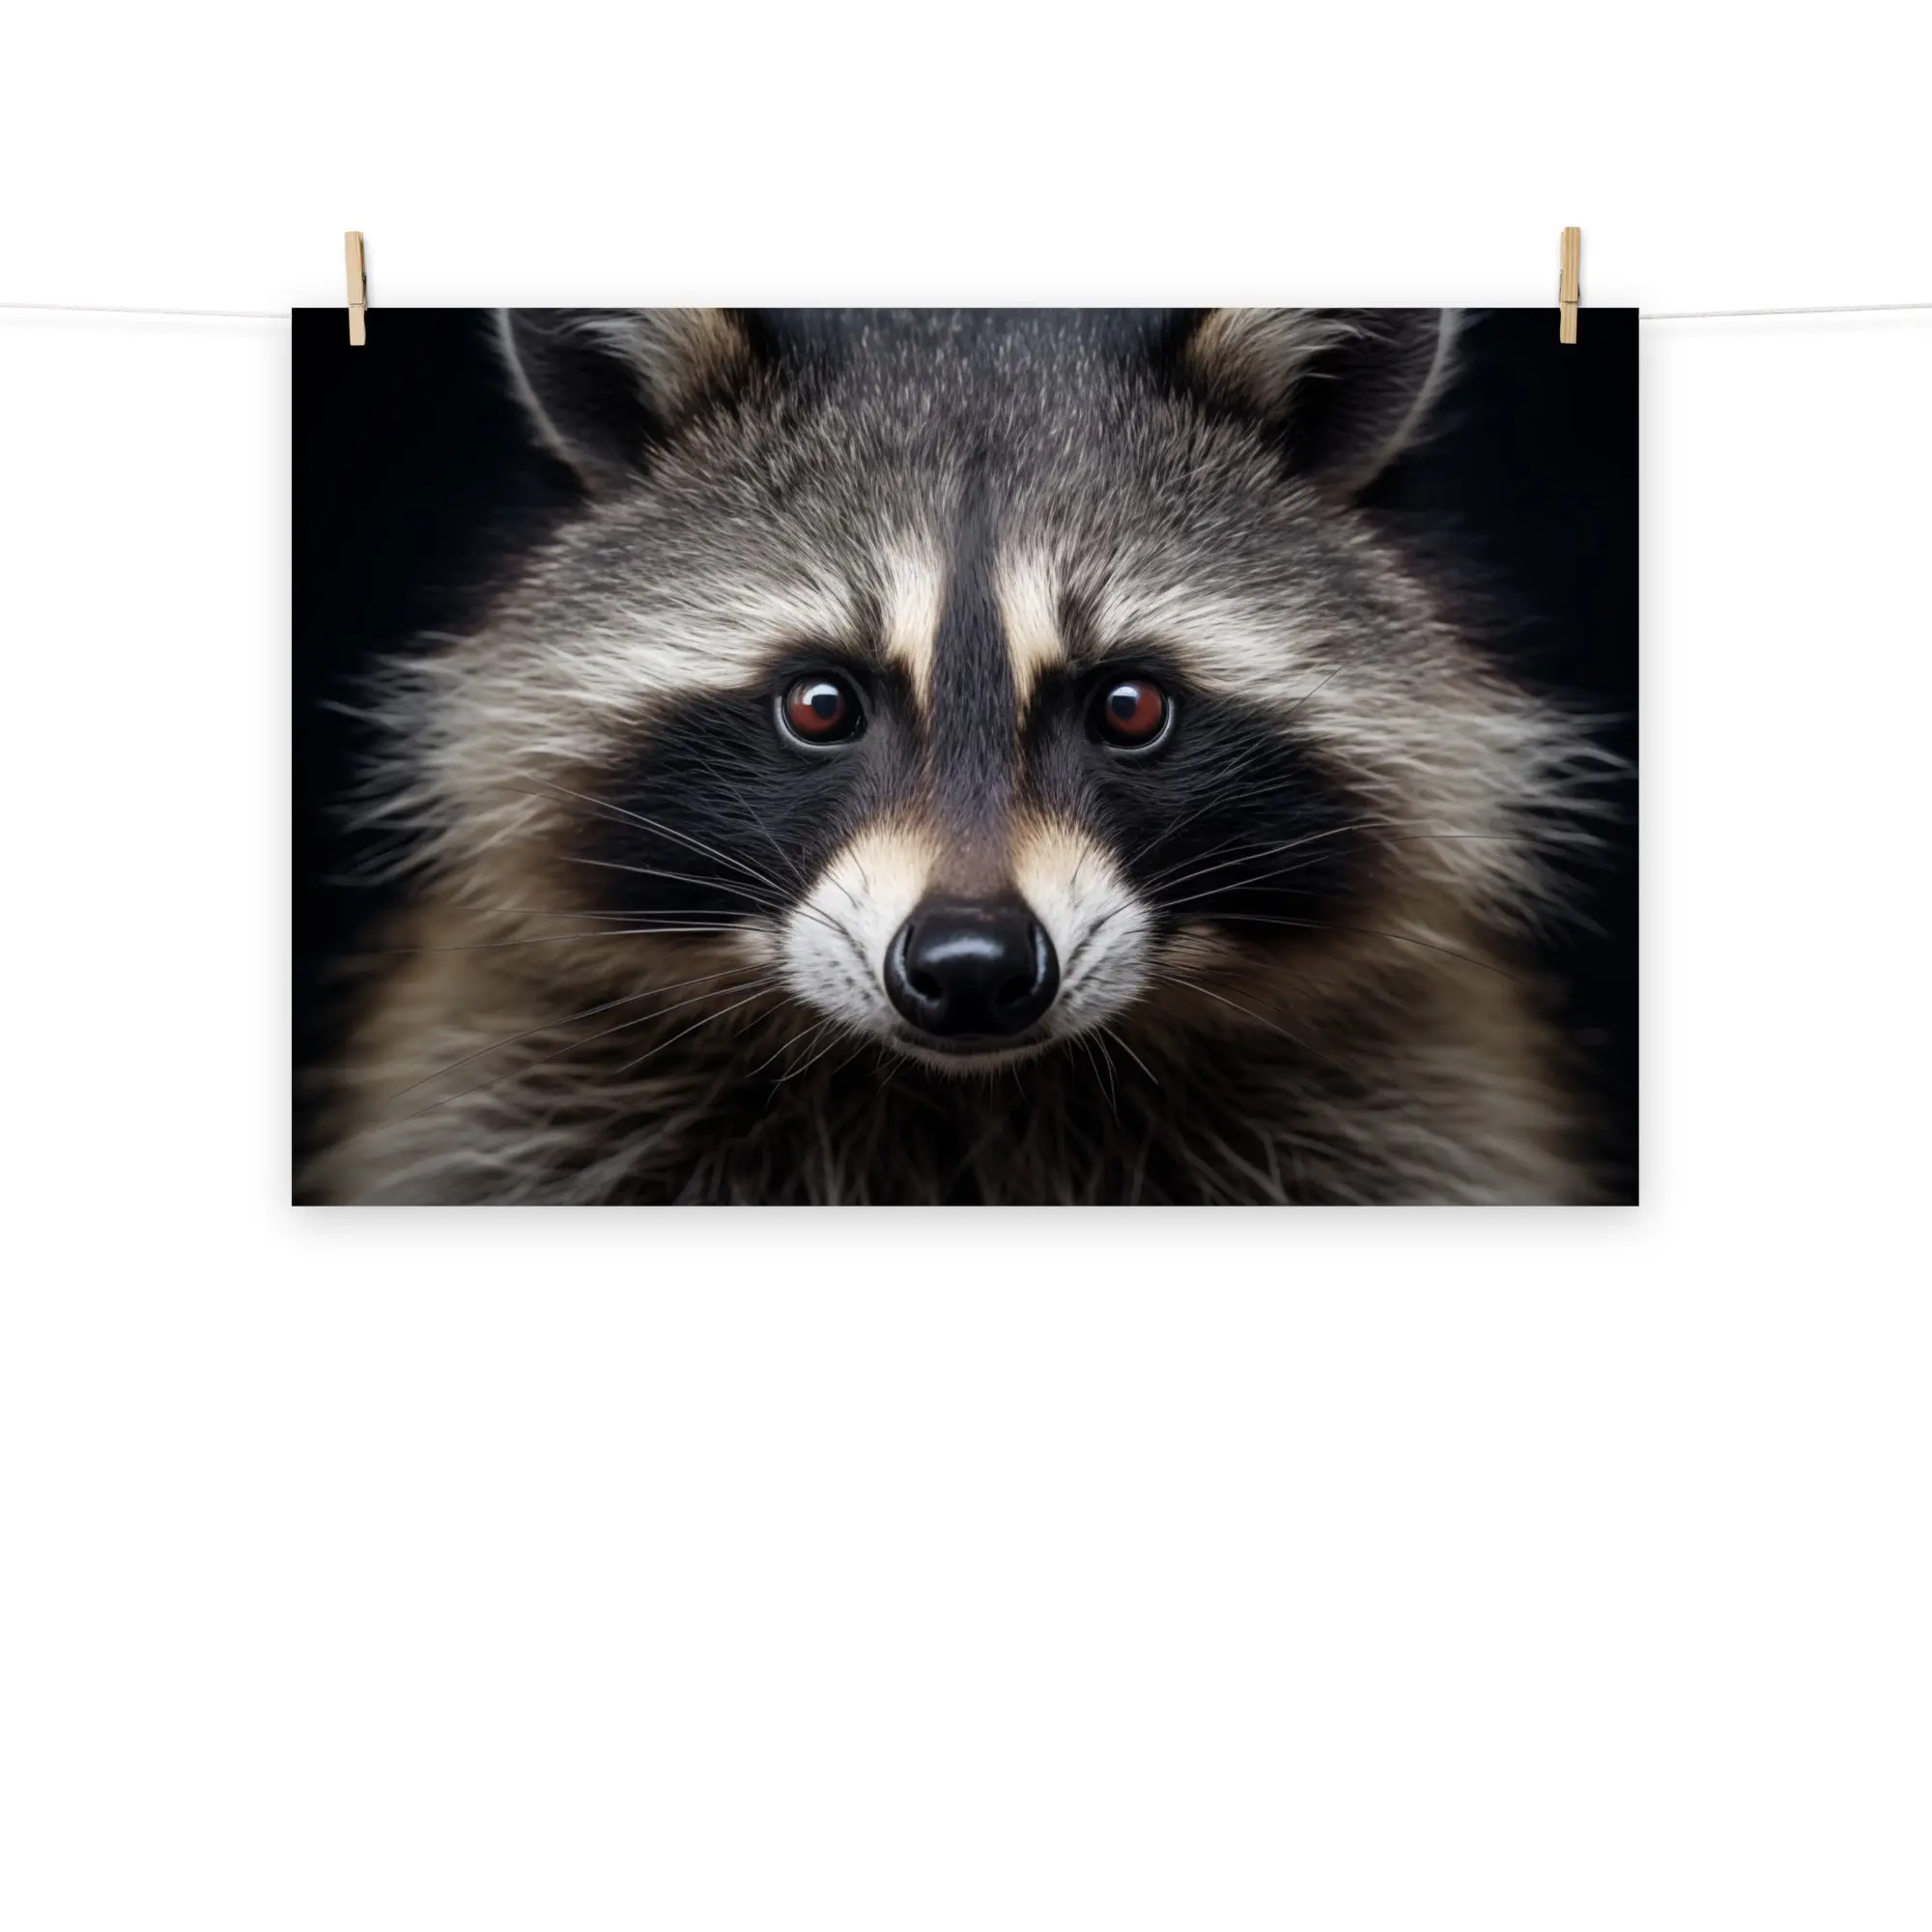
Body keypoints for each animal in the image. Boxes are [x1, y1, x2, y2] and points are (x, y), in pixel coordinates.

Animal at [310, 308, 1614, 1205]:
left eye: (1129, 706)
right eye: (820, 705)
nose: (974, 966)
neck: (968, 1102)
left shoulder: (1403, 1111)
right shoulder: (517, 1095)